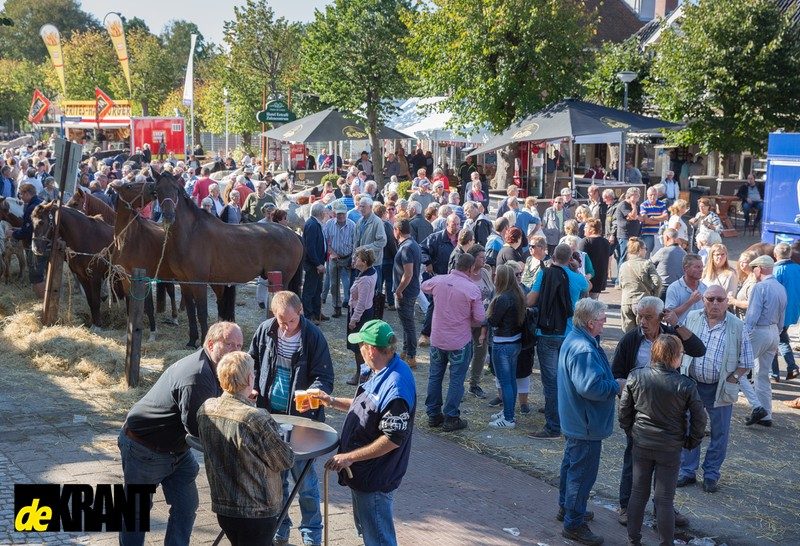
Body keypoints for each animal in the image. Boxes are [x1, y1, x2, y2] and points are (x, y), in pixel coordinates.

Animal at [146, 170, 304, 320]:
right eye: (157, 190)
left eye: (176, 189)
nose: (168, 216)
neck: (190, 233)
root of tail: (294, 235)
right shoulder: (184, 282)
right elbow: (191, 315)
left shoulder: (199, 283)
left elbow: (201, 314)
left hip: (281, 281)